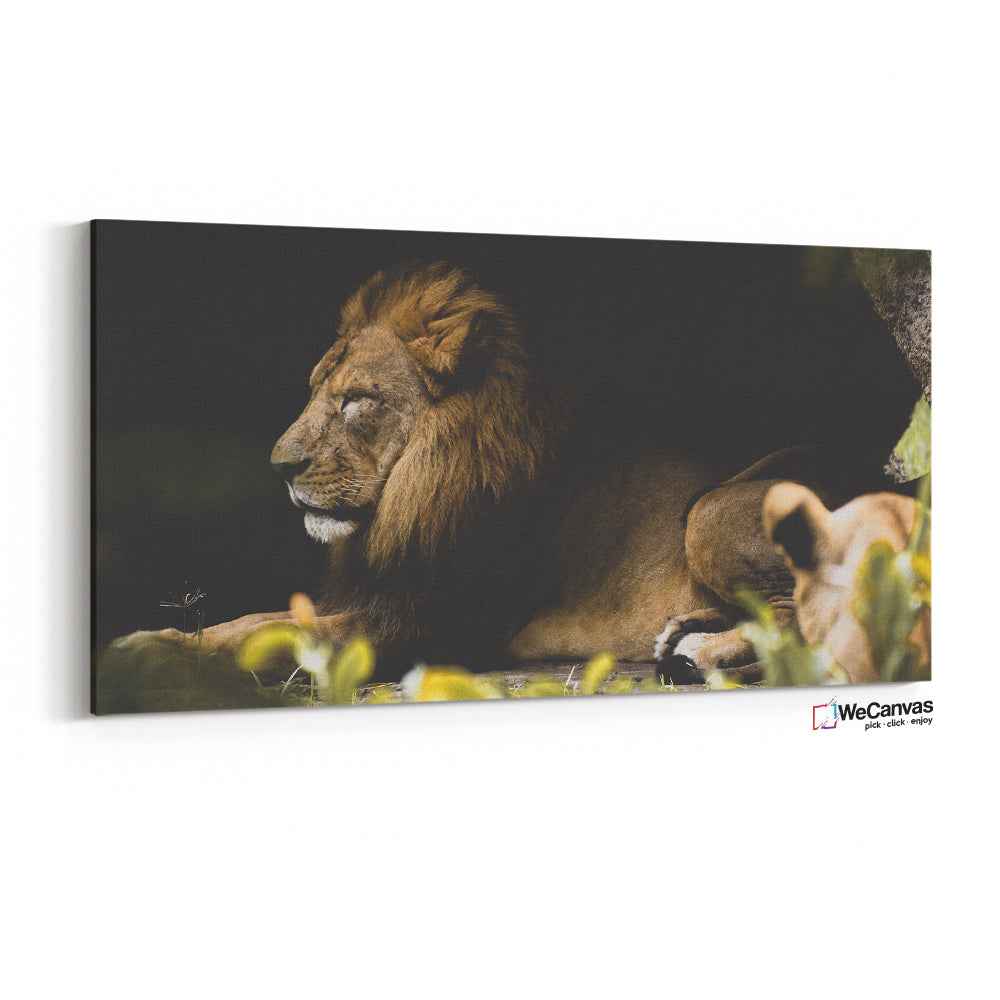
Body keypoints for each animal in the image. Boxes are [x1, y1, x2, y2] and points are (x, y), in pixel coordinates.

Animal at [103, 262, 896, 705]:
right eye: (316, 391)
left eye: (357, 400)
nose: (279, 466)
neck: (414, 488)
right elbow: (249, 620)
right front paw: (156, 636)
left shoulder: (426, 623)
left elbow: (268, 632)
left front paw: (148, 653)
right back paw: (685, 634)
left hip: (708, 511)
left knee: (817, 619)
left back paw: (704, 651)